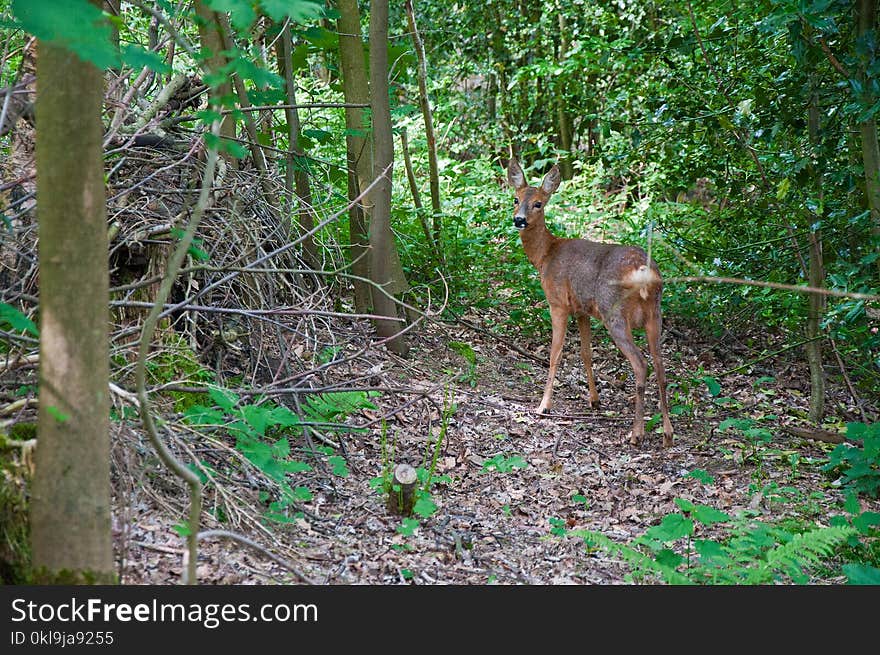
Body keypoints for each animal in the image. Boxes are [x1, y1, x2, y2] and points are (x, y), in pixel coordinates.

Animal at [508, 156, 672, 448]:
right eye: (516, 199)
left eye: (538, 203)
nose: (519, 220)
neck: (545, 256)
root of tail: (645, 273)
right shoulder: (582, 309)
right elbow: (586, 353)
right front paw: (594, 400)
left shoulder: (558, 302)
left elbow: (555, 353)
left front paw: (543, 405)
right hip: (655, 314)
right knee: (661, 365)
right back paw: (667, 433)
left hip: (614, 312)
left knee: (641, 363)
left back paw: (636, 434)